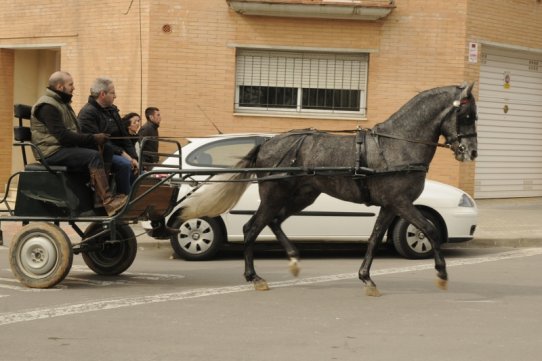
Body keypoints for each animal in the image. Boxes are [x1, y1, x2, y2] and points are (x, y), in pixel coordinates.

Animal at [180, 83, 480, 296]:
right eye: (466, 115)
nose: (472, 152)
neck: (397, 144)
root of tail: (266, 144)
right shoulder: (402, 203)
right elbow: (430, 230)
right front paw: (441, 274)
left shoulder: (389, 205)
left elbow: (374, 238)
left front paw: (366, 278)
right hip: (274, 195)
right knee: (251, 228)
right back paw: (255, 277)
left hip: (303, 196)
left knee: (274, 222)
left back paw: (293, 259)